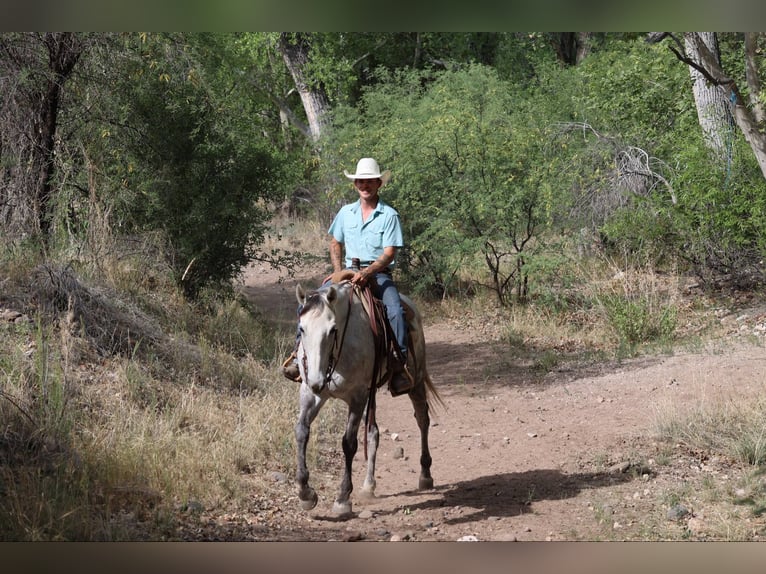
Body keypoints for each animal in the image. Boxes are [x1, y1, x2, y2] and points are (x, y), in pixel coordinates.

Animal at [293, 276, 443, 516]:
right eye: (302, 328)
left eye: (333, 330)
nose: (317, 380)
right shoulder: (311, 393)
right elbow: (301, 432)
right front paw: (305, 493)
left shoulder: (357, 396)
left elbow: (348, 443)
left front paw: (343, 499)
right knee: (374, 432)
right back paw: (368, 486)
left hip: (415, 381)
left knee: (422, 419)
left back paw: (425, 474)